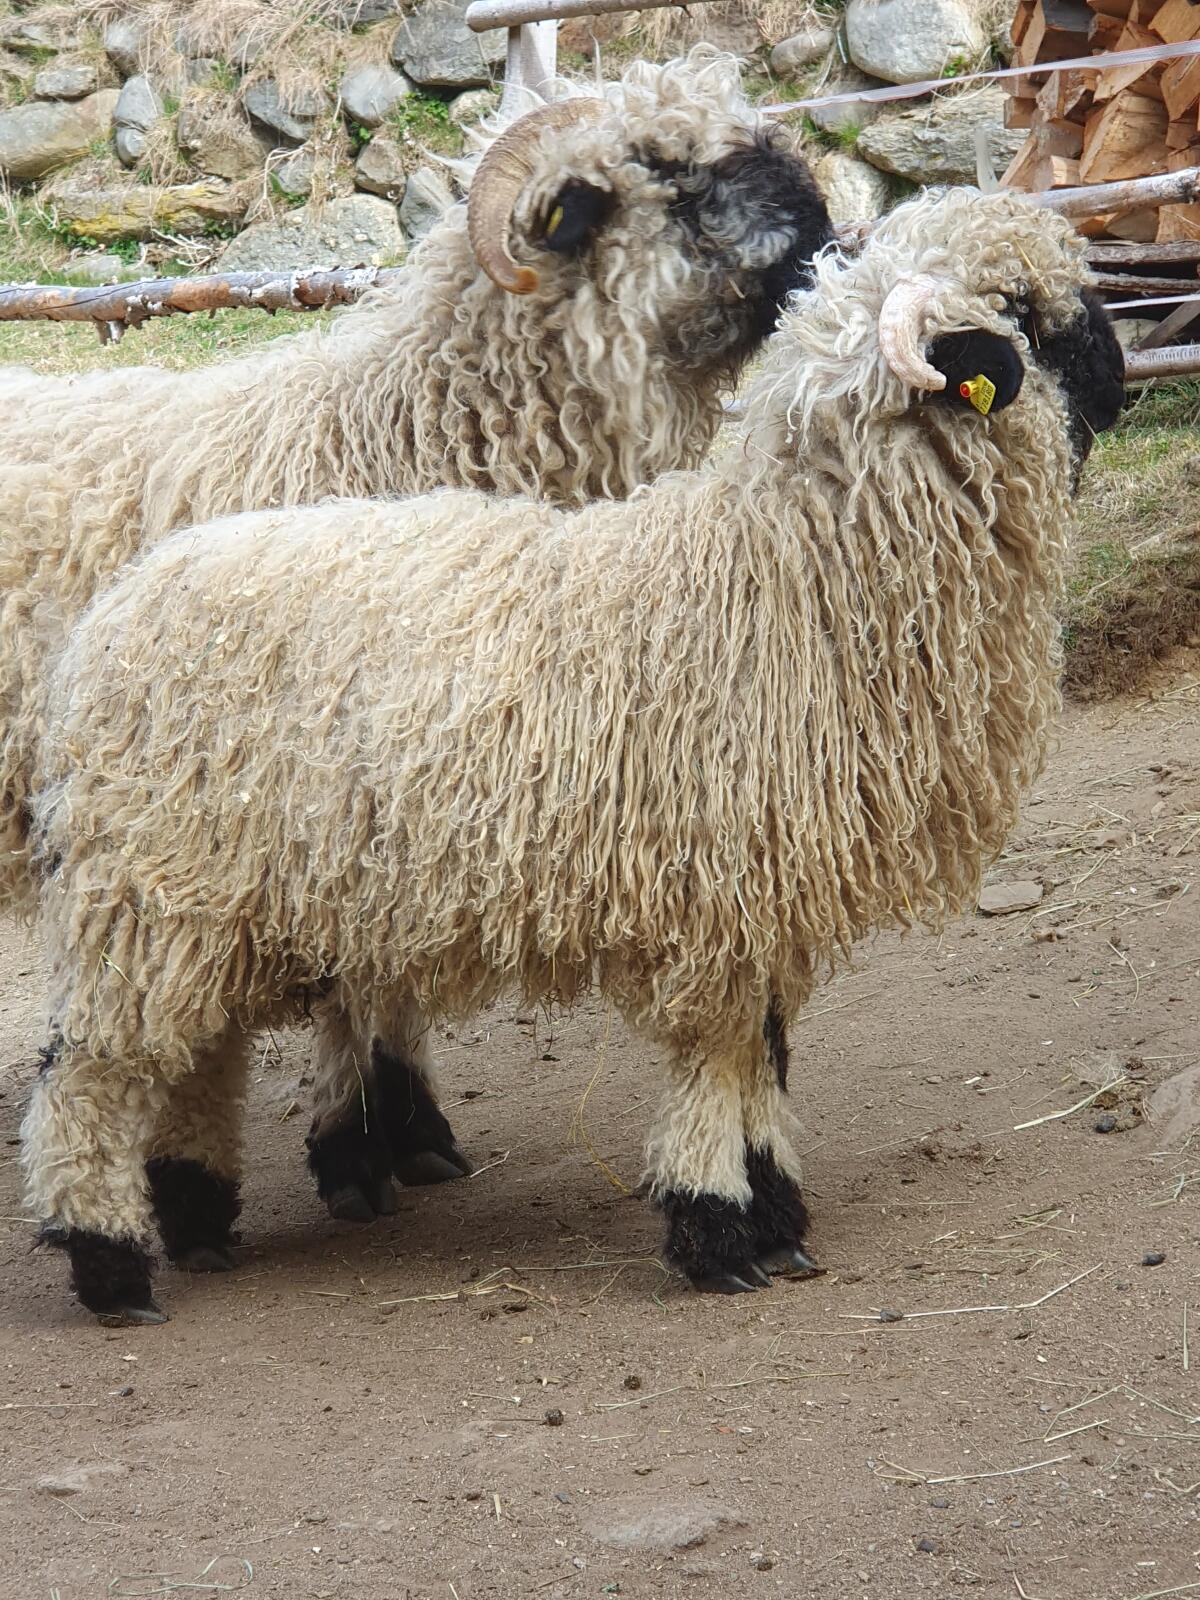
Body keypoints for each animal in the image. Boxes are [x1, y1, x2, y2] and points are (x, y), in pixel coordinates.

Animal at [0, 45, 833, 1254]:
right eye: (666, 173)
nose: (824, 224)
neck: (408, 429)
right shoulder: (330, 776)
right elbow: (359, 975)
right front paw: (362, 1141)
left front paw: (397, 1131)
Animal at [23, 186, 1127, 1324]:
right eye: (1023, 311)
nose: (1127, 383)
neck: (793, 571)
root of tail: (112, 615)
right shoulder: (714, 897)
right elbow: (720, 1057)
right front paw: (717, 1226)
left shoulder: (766, 899)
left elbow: (766, 1056)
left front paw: (775, 1213)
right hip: (145, 887)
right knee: (93, 1069)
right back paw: (109, 1261)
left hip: (210, 902)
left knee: (197, 1053)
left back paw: (196, 1217)